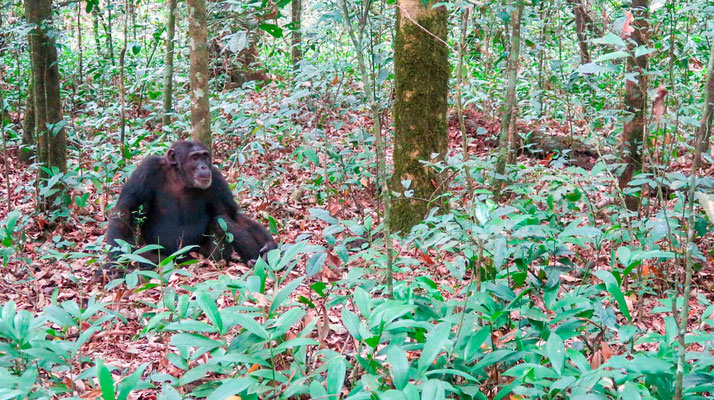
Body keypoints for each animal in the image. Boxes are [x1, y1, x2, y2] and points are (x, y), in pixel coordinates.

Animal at [103, 141, 276, 276]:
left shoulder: (216, 178)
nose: (203, 166)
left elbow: (232, 214)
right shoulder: (147, 169)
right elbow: (125, 211)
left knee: (222, 221)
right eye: (194, 158)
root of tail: (186, 260)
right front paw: (116, 263)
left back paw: (258, 261)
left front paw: (269, 246)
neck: (180, 177)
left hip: (206, 256)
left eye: (204, 156)